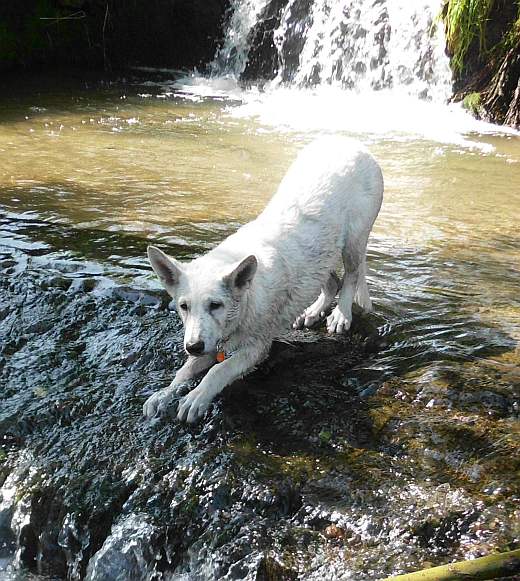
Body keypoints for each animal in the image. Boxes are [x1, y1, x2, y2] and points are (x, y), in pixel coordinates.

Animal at [142, 138, 382, 424]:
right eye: (183, 307)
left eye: (216, 305)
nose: (193, 346)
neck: (246, 299)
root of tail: (350, 142)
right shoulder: (211, 341)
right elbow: (184, 371)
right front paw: (162, 395)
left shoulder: (256, 348)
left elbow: (218, 371)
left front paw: (196, 398)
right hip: (321, 253)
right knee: (331, 281)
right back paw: (312, 312)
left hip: (354, 241)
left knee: (351, 277)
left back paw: (340, 315)